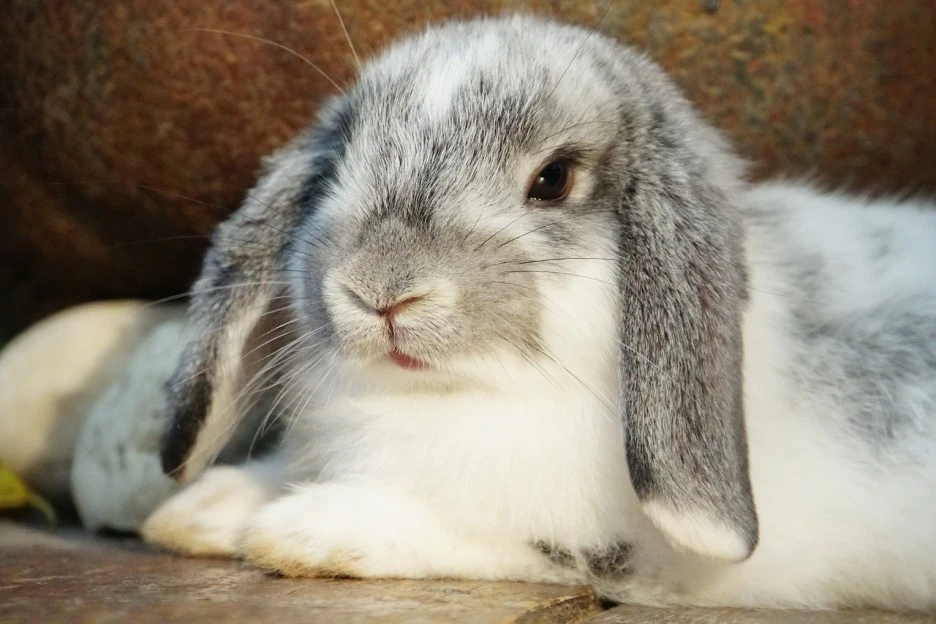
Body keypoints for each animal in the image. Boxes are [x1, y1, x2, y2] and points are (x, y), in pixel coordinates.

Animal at [141, 15, 936, 611]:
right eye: (337, 165)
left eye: (553, 180)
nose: (380, 290)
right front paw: (201, 512)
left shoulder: (613, 545)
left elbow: (495, 533)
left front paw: (303, 531)